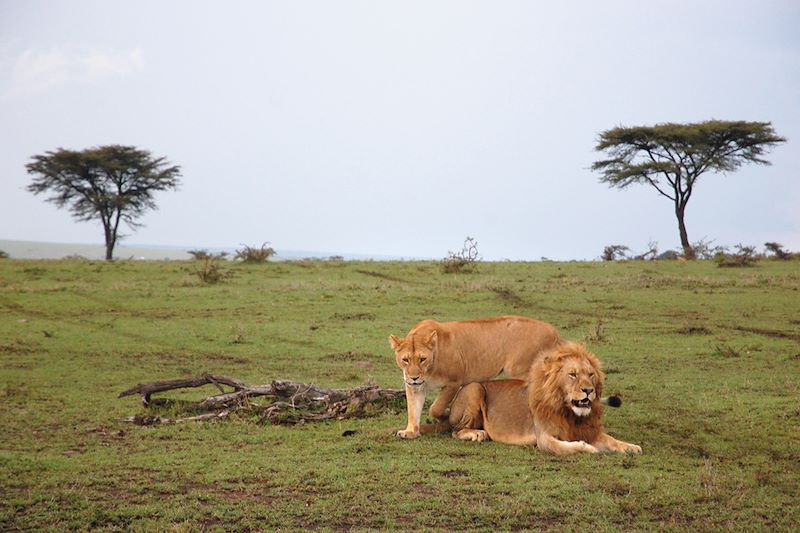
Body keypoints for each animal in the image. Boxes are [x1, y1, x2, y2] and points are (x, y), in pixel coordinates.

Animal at [390, 316, 560, 436]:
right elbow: (413, 409)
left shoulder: (454, 382)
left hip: (521, 369)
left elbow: (435, 408)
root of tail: (553, 330)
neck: (429, 369)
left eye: (422, 359)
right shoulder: (414, 387)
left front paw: (445, 415)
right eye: (405, 360)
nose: (414, 377)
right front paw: (410, 432)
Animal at [450, 340, 644, 454]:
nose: (589, 390)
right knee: (455, 431)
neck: (570, 414)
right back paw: (477, 434)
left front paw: (631, 447)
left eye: (591, 375)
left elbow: (612, 440)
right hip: (475, 388)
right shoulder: (544, 438)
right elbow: (570, 448)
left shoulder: (589, 431)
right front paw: (588, 447)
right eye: (573, 375)